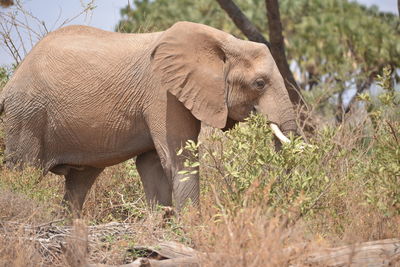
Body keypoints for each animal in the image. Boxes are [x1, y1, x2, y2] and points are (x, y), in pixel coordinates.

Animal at [0, 21, 296, 216]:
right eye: (259, 83)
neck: (224, 42)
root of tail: (10, 83)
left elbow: (152, 164)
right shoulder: (163, 94)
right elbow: (179, 161)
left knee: (78, 182)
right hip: (28, 116)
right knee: (24, 170)